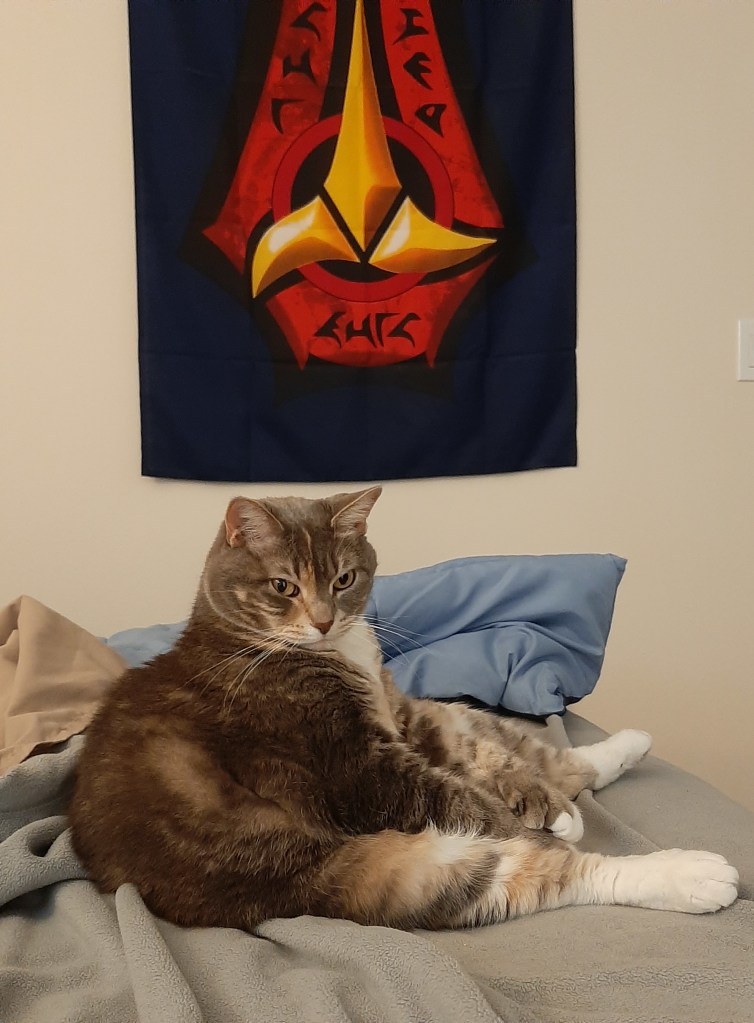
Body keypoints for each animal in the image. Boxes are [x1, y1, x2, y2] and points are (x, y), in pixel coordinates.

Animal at [70, 488, 739, 930]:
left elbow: (497, 755)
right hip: (365, 869)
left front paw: (553, 802)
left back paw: (623, 750)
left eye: (344, 578)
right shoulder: (358, 766)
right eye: (283, 586)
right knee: (545, 872)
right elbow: (467, 795)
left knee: (530, 747)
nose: (323, 620)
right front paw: (549, 820)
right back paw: (695, 875)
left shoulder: (403, 715)